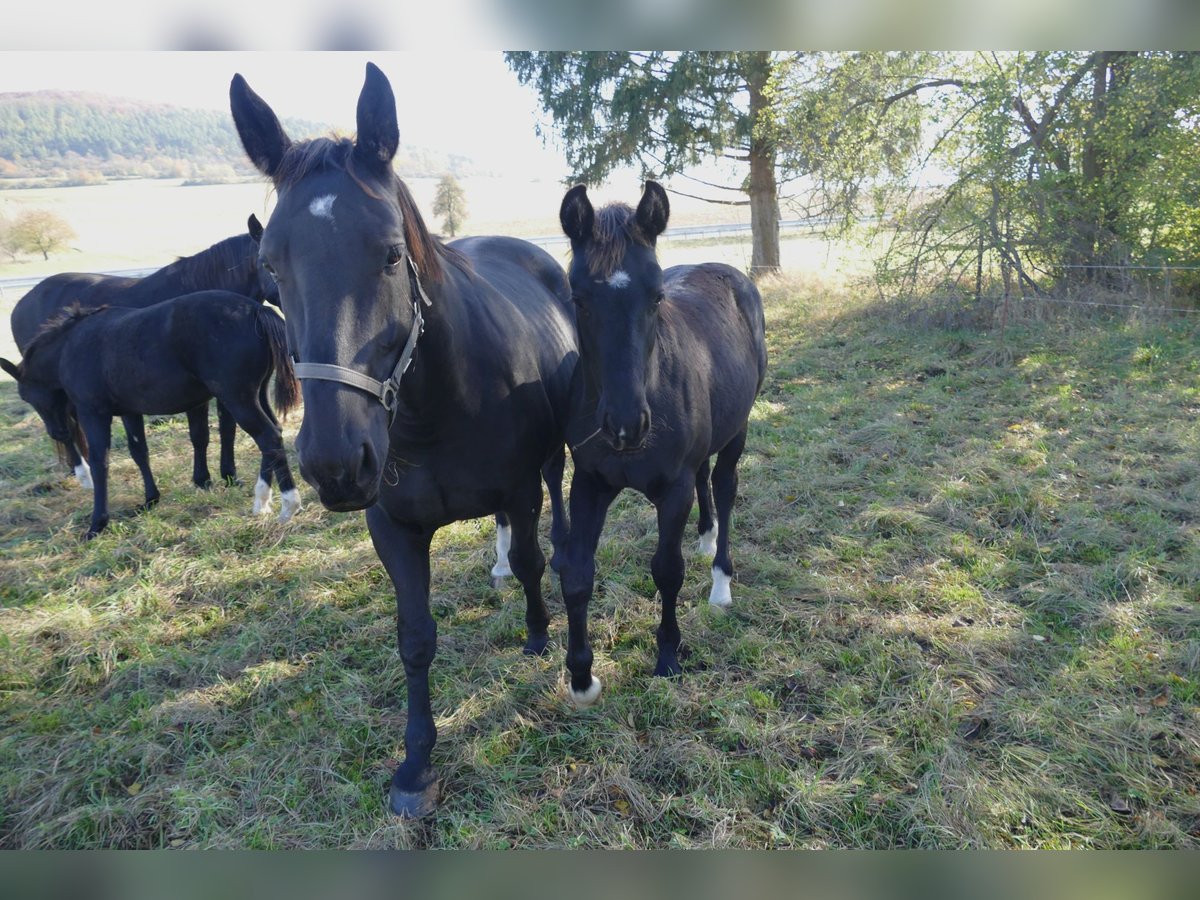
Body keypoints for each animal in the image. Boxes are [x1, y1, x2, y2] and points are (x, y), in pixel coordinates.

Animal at [1, 292, 300, 540]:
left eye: (27, 396)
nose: (57, 433)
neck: (70, 347)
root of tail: (255, 310)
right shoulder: (130, 411)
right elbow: (139, 452)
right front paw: (150, 500)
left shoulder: (93, 412)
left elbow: (100, 461)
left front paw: (97, 523)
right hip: (257, 393)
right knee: (273, 434)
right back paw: (261, 502)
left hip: (237, 397)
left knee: (267, 437)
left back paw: (289, 504)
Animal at [231, 61, 578, 816]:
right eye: (271, 265)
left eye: (391, 254)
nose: (335, 462)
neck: (434, 408)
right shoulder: (391, 525)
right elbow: (415, 638)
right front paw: (416, 763)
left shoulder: (521, 487)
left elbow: (533, 559)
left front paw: (541, 634)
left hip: (551, 464)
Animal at [554, 180, 763, 710]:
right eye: (578, 298)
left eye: (656, 296)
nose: (626, 425)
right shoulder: (589, 483)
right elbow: (577, 573)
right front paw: (582, 676)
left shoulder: (672, 489)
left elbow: (667, 569)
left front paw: (668, 656)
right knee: (707, 479)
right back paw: (706, 534)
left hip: (739, 427)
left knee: (724, 485)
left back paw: (721, 581)